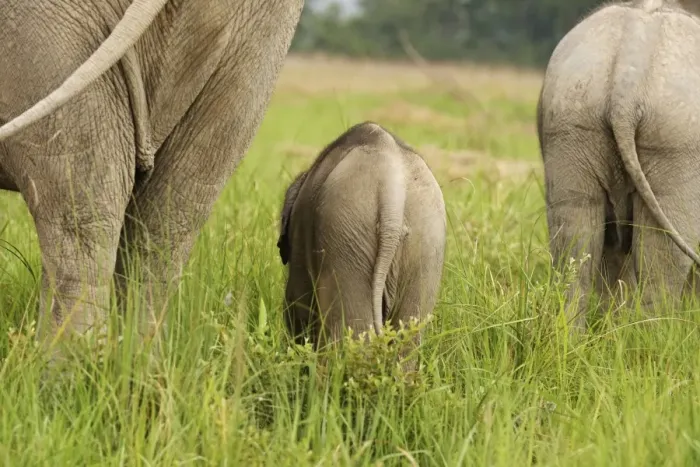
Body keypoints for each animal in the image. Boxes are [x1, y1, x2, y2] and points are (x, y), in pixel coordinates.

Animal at [537, 0, 700, 331]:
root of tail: (628, 77)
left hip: (571, 122)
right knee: (663, 258)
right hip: (676, 139)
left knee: (575, 234)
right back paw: (655, 337)